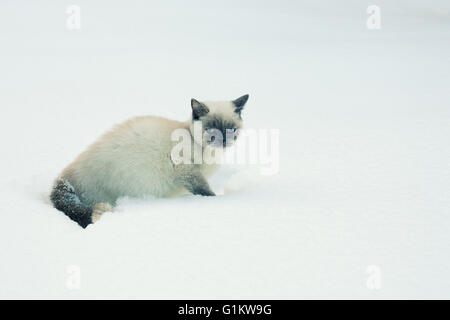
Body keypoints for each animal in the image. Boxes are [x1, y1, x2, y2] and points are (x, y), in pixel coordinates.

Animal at [49, 94, 250, 226]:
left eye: (231, 129)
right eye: (212, 129)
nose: (224, 141)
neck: (208, 153)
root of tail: (64, 179)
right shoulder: (186, 171)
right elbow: (204, 190)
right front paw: (215, 202)